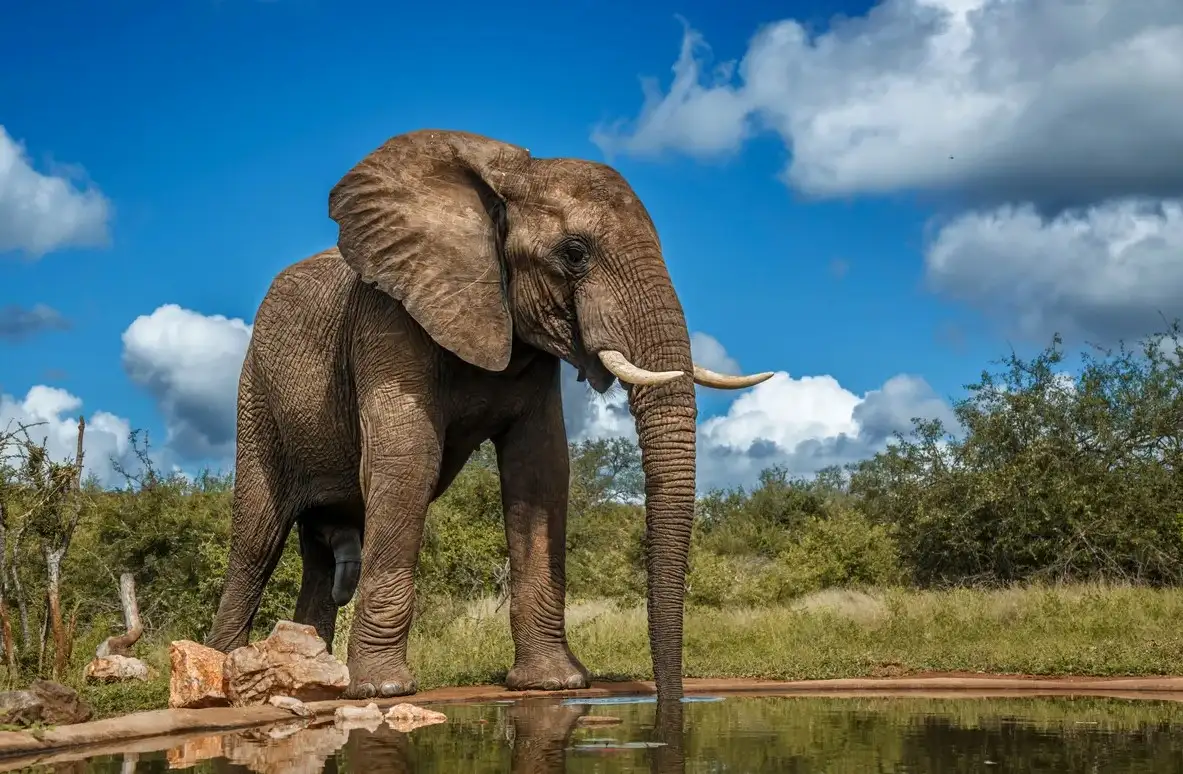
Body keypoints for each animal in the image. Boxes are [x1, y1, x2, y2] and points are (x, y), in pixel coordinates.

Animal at [201, 129, 776, 705]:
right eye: (574, 253)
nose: (668, 698)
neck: (506, 181)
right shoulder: (388, 317)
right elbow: (408, 459)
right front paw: (381, 690)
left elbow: (540, 470)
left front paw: (553, 683)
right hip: (255, 393)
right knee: (256, 538)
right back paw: (228, 673)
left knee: (318, 556)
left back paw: (312, 676)